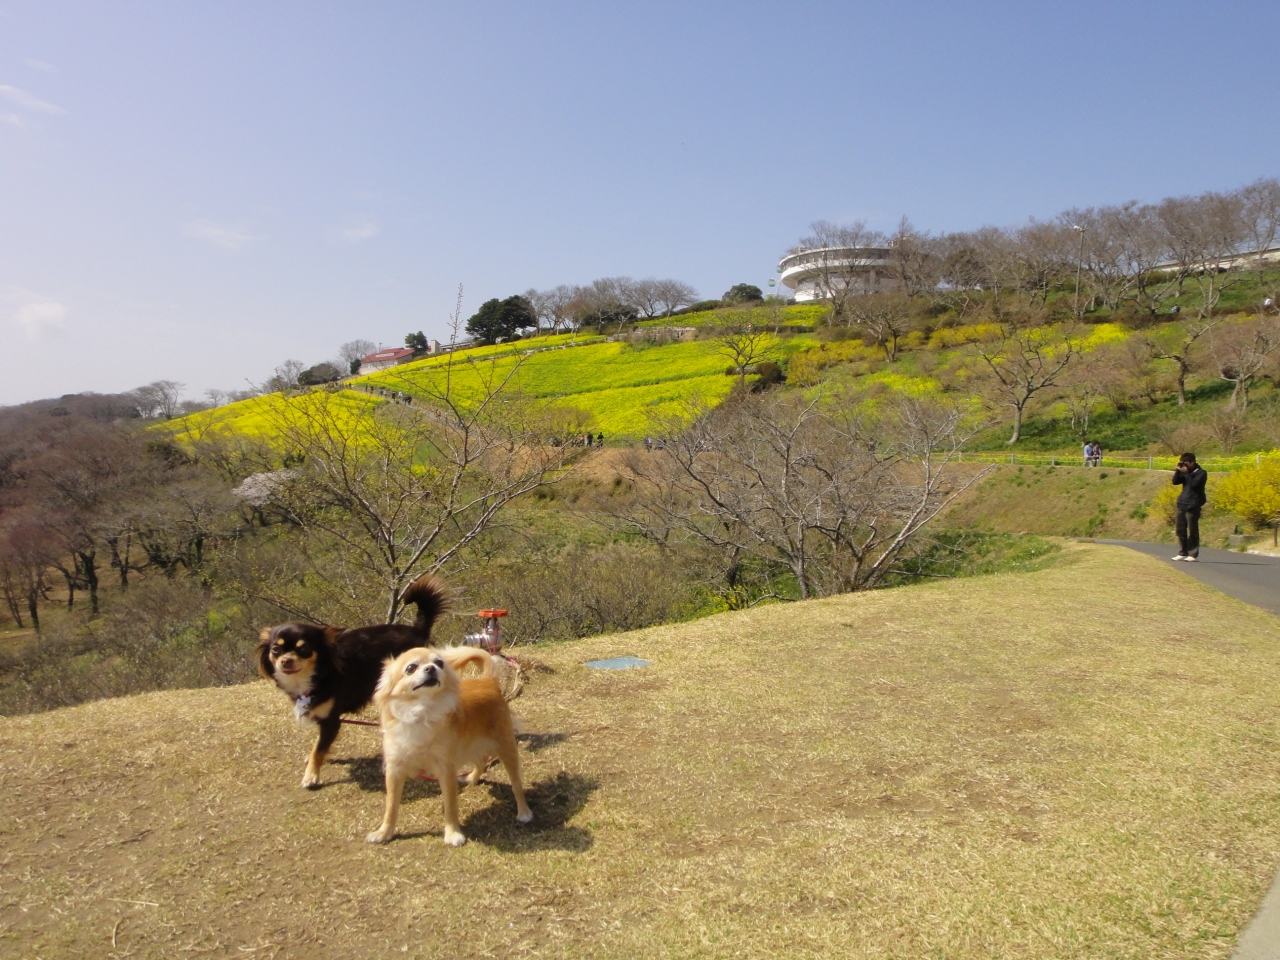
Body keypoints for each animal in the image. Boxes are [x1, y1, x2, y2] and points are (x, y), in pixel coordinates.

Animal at [257, 578, 448, 788]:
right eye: (275, 649)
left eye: (305, 649)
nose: (286, 661)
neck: (313, 676)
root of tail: (417, 629)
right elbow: (319, 745)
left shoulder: (332, 720)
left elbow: (318, 749)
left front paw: (311, 776)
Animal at [368, 650, 532, 844]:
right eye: (410, 668)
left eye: (439, 663)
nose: (431, 668)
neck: (421, 712)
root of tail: (487, 680)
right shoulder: (395, 769)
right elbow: (391, 804)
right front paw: (384, 832)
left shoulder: (446, 768)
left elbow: (450, 804)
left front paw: (453, 833)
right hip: (470, 744)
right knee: (481, 761)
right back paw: (471, 778)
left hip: (505, 747)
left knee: (516, 784)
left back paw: (524, 812)